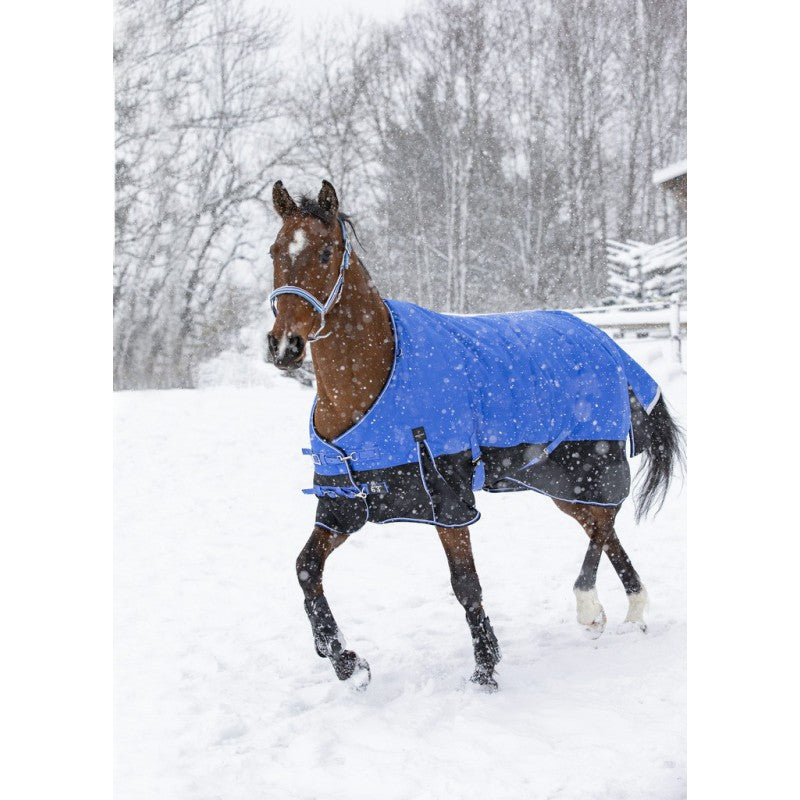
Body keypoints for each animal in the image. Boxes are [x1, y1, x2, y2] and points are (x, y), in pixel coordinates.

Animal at [266, 179, 684, 691]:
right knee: (601, 526)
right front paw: (344, 658)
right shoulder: (344, 503)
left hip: (591, 461)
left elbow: (465, 584)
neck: (372, 380)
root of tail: (605, 341)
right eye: (275, 251)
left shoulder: (449, 500)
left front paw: (485, 667)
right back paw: (631, 611)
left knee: (606, 518)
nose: (284, 345)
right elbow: (306, 570)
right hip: (557, 480)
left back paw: (590, 608)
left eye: (326, 253)